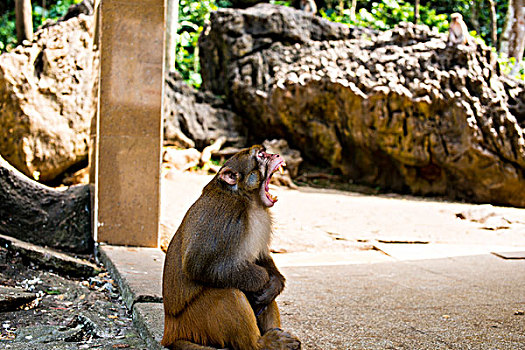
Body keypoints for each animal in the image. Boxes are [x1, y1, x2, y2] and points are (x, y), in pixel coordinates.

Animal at [161, 144, 298, 348]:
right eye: (260, 155)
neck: (248, 200)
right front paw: (262, 279)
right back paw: (261, 344)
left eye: (264, 152)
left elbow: (262, 257)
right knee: (230, 292)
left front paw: (274, 283)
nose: (275, 155)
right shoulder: (226, 214)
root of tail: (170, 330)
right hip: (195, 321)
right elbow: (198, 266)